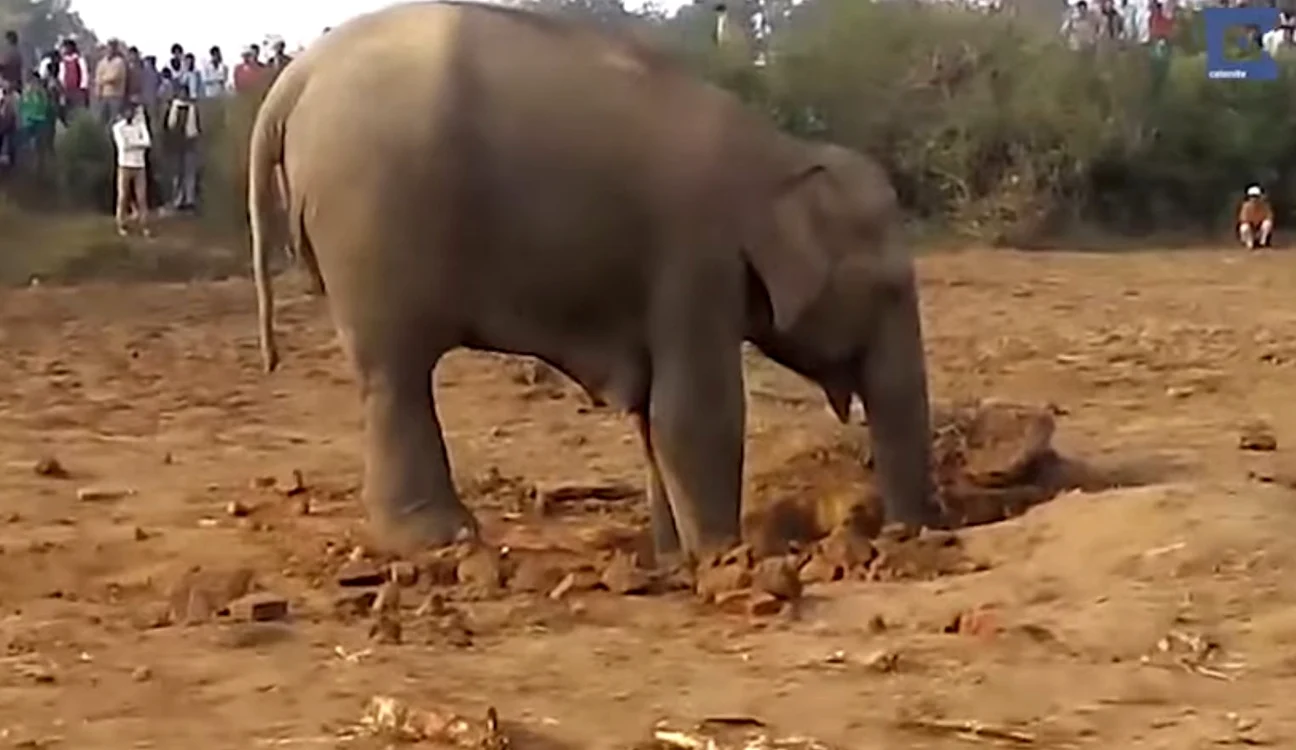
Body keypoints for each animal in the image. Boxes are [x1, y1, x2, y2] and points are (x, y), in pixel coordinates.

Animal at [247, 0, 944, 567]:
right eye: (889, 287)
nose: (910, 531)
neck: (781, 154)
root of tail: (295, 78)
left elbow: (653, 413)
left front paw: (670, 555)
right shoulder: (697, 256)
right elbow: (693, 410)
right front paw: (725, 556)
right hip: (371, 216)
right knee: (398, 376)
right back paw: (443, 541)